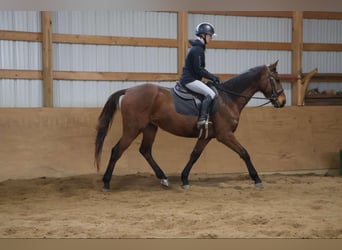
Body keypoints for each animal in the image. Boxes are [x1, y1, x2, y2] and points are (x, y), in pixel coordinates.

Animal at [95, 61, 286, 190]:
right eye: (276, 79)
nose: (282, 102)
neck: (228, 99)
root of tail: (128, 91)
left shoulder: (207, 136)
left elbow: (194, 155)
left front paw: (185, 179)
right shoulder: (225, 135)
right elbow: (244, 153)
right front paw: (257, 179)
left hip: (150, 128)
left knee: (145, 151)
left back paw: (163, 178)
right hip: (133, 128)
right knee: (117, 150)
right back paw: (106, 182)